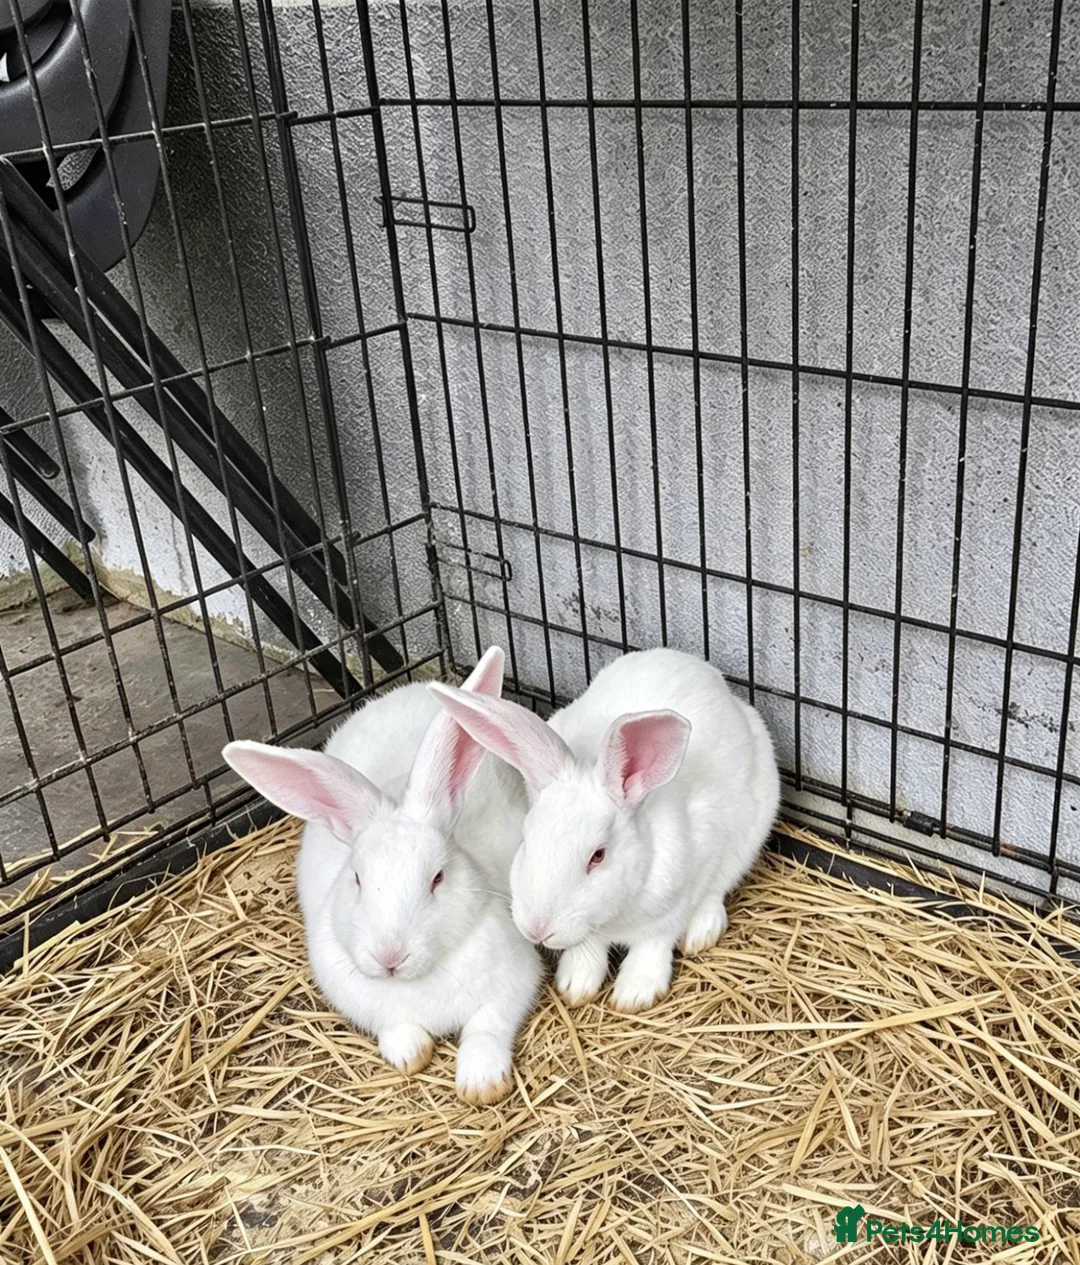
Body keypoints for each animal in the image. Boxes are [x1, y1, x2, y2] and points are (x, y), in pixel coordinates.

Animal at [221, 647, 543, 1105]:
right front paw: (414, 1055)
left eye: (437, 878)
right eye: (357, 879)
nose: (390, 957)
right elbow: (397, 1031)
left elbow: (487, 1029)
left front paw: (481, 1086)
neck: (420, 978)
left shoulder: (511, 987)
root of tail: (405, 688)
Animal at [428, 647, 779, 1014]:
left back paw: (701, 932)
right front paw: (575, 986)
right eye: (526, 840)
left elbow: (654, 944)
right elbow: (589, 950)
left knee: (718, 889)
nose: (537, 929)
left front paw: (635, 994)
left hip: (751, 831)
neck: (615, 916)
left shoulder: (675, 902)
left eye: (598, 856)